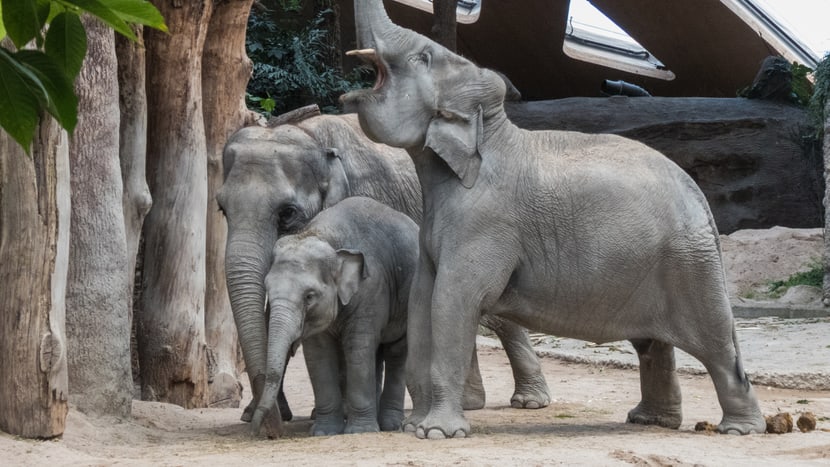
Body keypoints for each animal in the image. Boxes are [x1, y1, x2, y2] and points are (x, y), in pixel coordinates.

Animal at [247, 196, 416, 436]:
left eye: (309, 296)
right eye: (267, 288)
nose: (257, 432)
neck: (323, 234)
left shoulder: (371, 289)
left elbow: (358, 347)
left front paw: (359, 432)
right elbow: (318, 354)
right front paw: (323, 432)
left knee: (396, 352)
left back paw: (389, 425)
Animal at [342, 0, 768, 438]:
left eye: (422, 57)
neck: (493, 130)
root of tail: (699, 195)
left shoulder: (485, 223)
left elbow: (454, 298)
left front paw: (437, 433)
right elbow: (424, 297)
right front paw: (416, 427)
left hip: (690, 264)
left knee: (716, 344)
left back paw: (739, 429)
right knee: (652, 343)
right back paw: (650, 420)